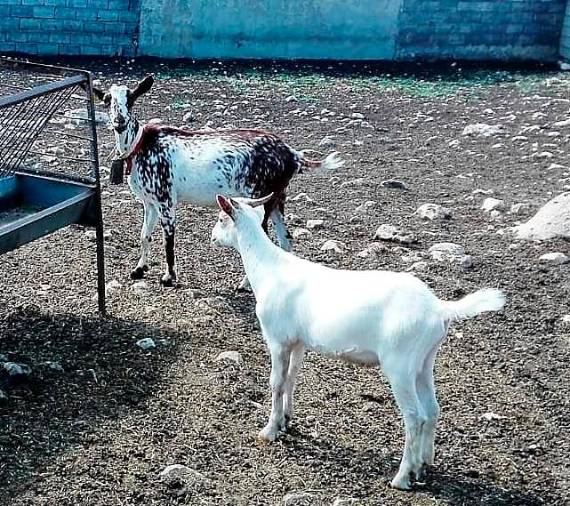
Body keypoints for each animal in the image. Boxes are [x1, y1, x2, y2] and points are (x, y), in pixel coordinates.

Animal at [211, 194, 504, 490]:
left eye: (222, 219)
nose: (212, 237)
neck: (269, 270)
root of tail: (439, 308)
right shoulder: (298, 342)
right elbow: (292, 378)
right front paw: (286, 420)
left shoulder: (277, 339)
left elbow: (276, 383)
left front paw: (269, 430)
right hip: (424, 361)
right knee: (432, 409)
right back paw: (423, 466)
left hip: (400, 365)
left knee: (414, 417)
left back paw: (402, 476)